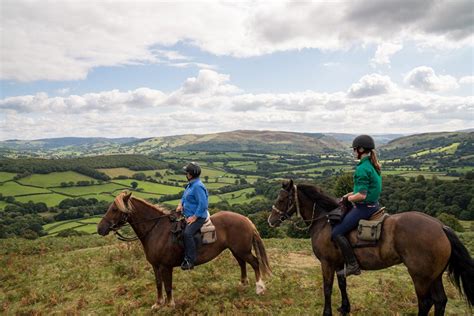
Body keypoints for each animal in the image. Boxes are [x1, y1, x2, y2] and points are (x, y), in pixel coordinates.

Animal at [97, 190, 270, 308]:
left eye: (114, 209)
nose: (100, 229)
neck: (156, 229)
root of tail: (246, 219)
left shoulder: (165, 266)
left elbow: (168, 286)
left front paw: (170, 304)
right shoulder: (155, 266)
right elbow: (158, 284)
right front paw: (158, 303)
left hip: (243, 251)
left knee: (255, 263)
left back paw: (259, 288)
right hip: (236, 250)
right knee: (242, 264)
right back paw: (243, 284)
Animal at [268, 180, 472, 316]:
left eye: (282, 199)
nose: (270, 220)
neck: (324, 220)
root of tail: (440, 226)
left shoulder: (327, 263)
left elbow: (327, 288)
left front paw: (327, 312)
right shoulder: (340, 263)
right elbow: (342, 284)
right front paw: (344, 308)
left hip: (420, 276)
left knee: (426, 302)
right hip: (434, 275)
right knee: (440, 301)